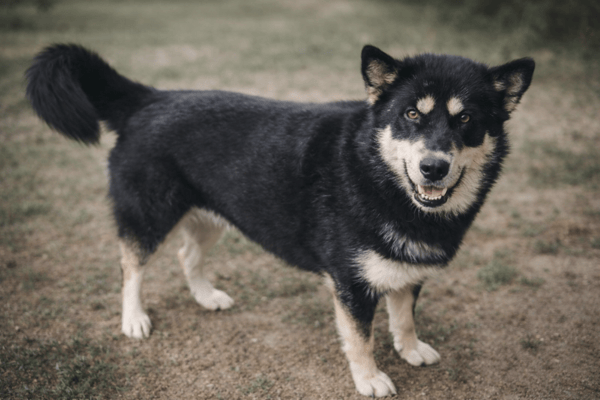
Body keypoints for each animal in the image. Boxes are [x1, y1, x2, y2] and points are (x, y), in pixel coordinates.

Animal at [26, 44, 534, 397]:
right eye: (411, 113)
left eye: (466, 119)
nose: (434, 167)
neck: (377, 176)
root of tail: (149, 98)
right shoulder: (351, 284)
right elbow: (361, 339)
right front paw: (370, 379)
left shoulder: (406, 270)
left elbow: (404, 316)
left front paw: (410, 350)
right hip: (149, 213)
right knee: (131, 264)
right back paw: (133, 319)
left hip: (212, 215)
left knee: (188, 254)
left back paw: (206, 296)